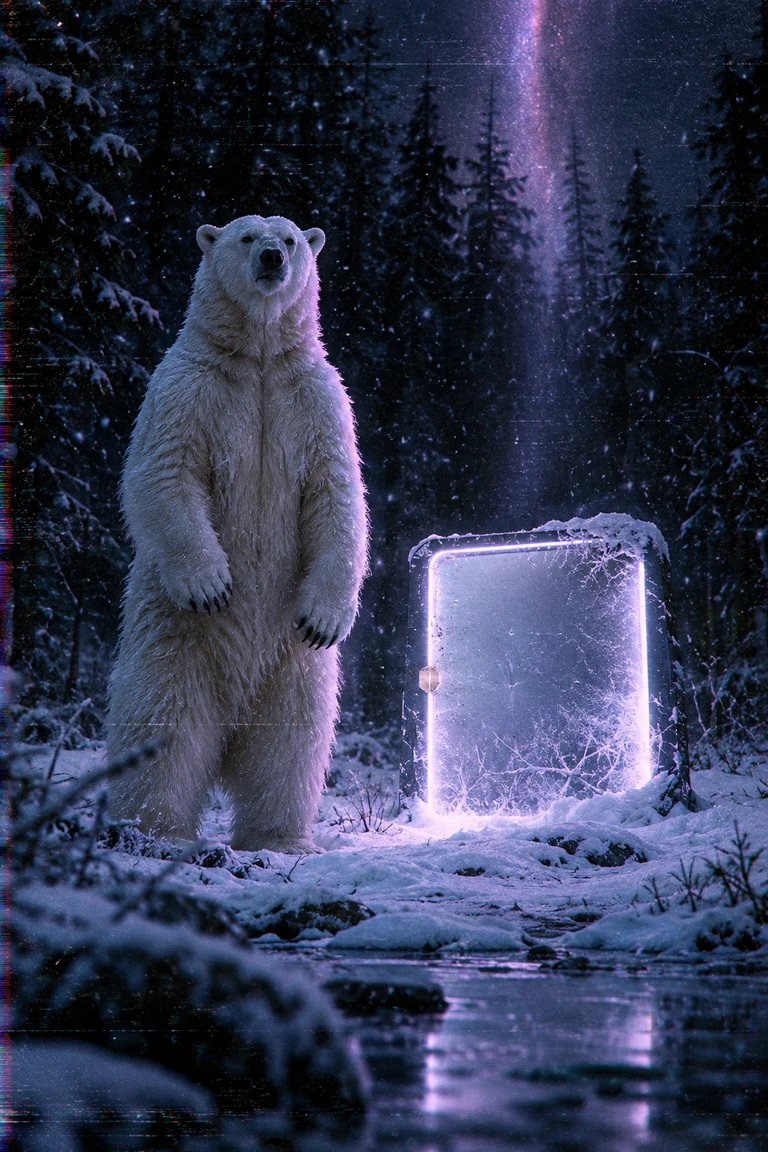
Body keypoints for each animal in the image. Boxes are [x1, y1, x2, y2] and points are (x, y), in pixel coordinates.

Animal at [107, 215, 368, 852]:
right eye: (248, 236)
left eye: (292, 238)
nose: (273, 258)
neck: (258, 361)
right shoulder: (184, 388)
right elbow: (166, 470)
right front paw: (211, 584)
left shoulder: (318, 400)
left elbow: (337, 494)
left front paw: (328, 617)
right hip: (174, 637)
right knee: (165, 724)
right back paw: (156, 830)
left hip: (289, 658)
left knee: (291, 740)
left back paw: (280, 836)